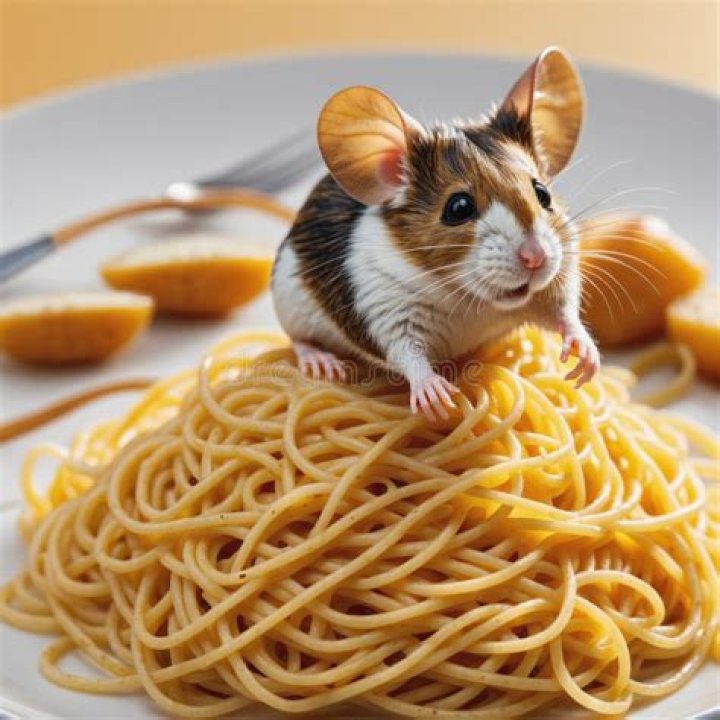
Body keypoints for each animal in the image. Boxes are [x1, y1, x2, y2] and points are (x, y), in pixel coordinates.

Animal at [272, 46, 599, 420]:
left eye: (542, 193)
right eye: (458, 208)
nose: (536, 258)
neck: (472, 301)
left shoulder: (559, 278)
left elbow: (565, 310)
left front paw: (586, 355)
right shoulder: (385, 307)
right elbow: (408, 352)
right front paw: (437, 394)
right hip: (289, 300)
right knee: (298, 338)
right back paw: (321, 360)